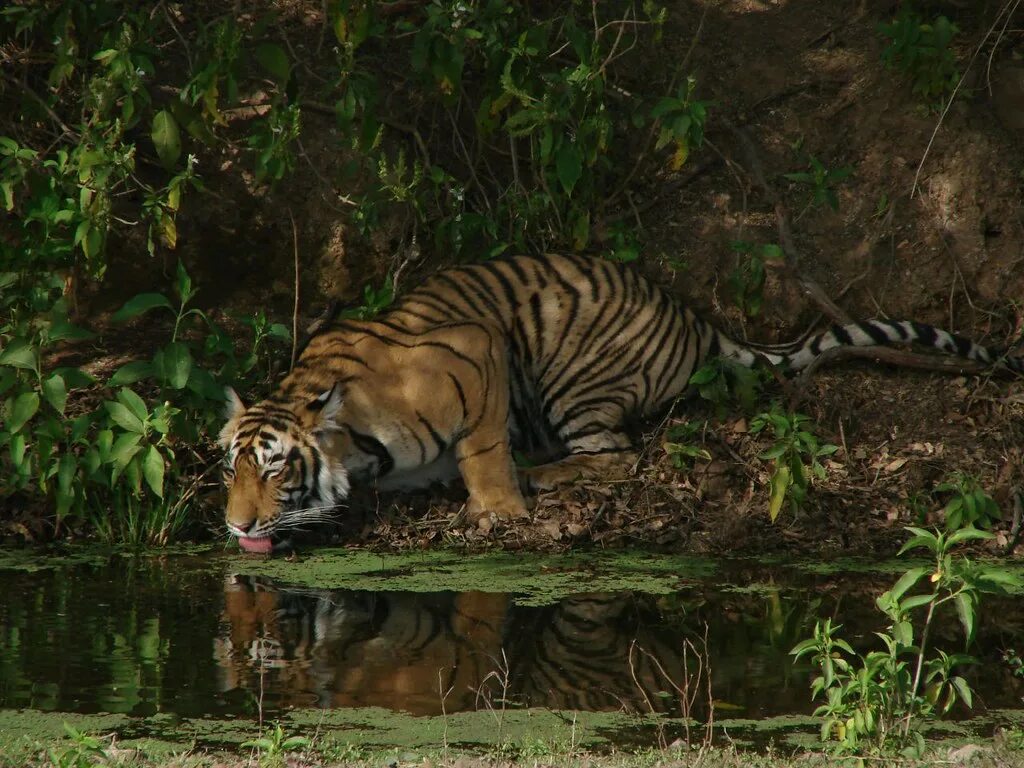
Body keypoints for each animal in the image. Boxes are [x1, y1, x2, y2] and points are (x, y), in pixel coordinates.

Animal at [220, 249, 1019, 548]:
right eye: (231, 468)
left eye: (275, 466)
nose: (234, 526)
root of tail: (691, 317)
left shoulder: (476, 352)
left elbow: (483, 449)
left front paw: (499, 510)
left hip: (571, 375)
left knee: (619, 455)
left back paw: (540, 473)